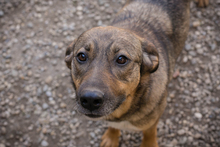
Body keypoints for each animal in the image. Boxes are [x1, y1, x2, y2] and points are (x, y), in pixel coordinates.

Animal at [65, 0, 208, 147]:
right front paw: (111, 137)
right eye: (81, 56)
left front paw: (149, 144)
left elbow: (149, 133)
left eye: (121, 59)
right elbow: (113, 126)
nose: (90, 100)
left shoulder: (154, 118)